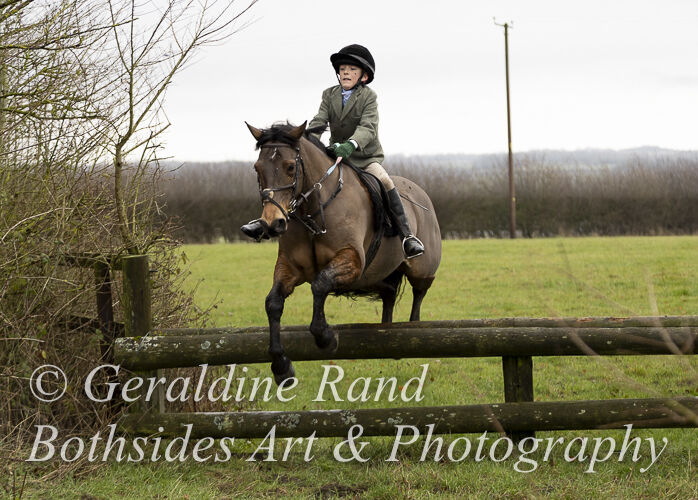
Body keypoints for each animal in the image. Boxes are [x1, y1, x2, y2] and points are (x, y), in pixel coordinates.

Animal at [242, 121, 441, 385]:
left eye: (291, 167)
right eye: (257, 168)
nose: (273, 223)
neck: (312, 210)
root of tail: (421, 192)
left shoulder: (352, 261)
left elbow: (320, 284)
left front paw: (326, 337)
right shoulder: (290, 267)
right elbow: (273, 303)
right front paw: (281, 366)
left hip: (422, 268)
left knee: (419, 291)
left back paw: (414, 327)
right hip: (379, 276)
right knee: (389, 294)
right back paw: (390, 333)